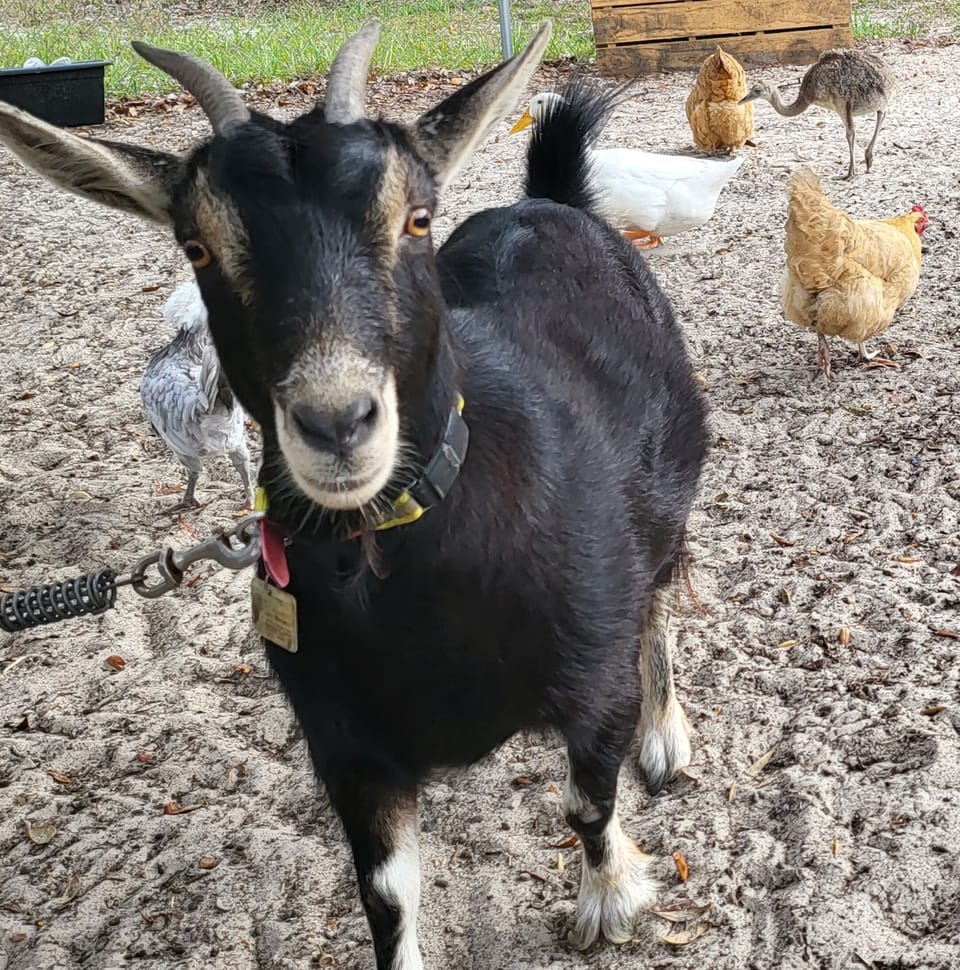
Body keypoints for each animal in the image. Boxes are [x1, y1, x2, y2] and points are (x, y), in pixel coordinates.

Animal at [0, 23, 708, 968]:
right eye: (197, 245)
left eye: (416, 216)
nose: (336, 421)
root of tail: (551, 202)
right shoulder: (349, 748)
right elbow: (386, 895)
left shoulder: (594, 677)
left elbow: (588, 800)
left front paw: (608, 901)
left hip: (669, 486)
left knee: (662, 588)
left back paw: (666, 739)